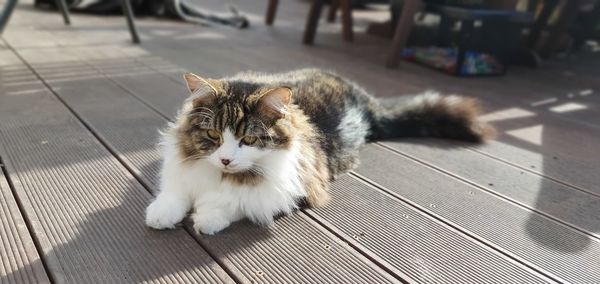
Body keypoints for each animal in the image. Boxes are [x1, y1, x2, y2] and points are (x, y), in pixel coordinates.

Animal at [143, 69, 494, 235]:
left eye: (249, 139)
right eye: (213, 135)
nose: (226, 159)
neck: (221, 176)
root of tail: (364, 97)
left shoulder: (294, 185)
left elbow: (236, 202)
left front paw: (208, 217)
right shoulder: (181, 171)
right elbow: (175, 192)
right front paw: (161, 214)